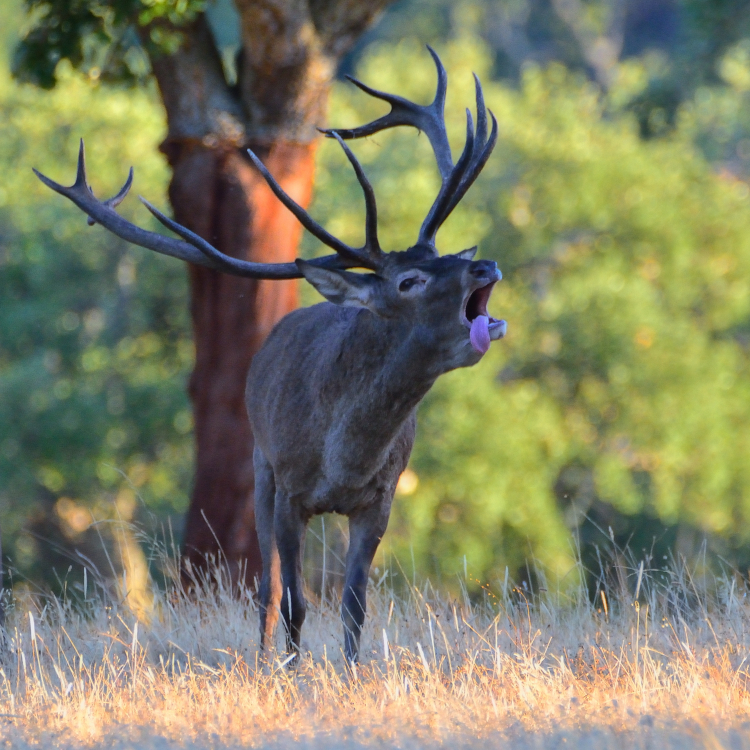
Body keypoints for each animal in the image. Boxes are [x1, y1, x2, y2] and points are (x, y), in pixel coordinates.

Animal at [34, 47, 507, 663]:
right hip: (259, 467)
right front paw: (289, 670)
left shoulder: (379, 498)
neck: (345, 454)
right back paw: (262, 660)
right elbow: (292, 601)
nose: (485, 266)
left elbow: (355, 606)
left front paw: (351, 674)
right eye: (409, 280)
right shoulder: (289, 486)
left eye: (450, 255)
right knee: (264, 586)